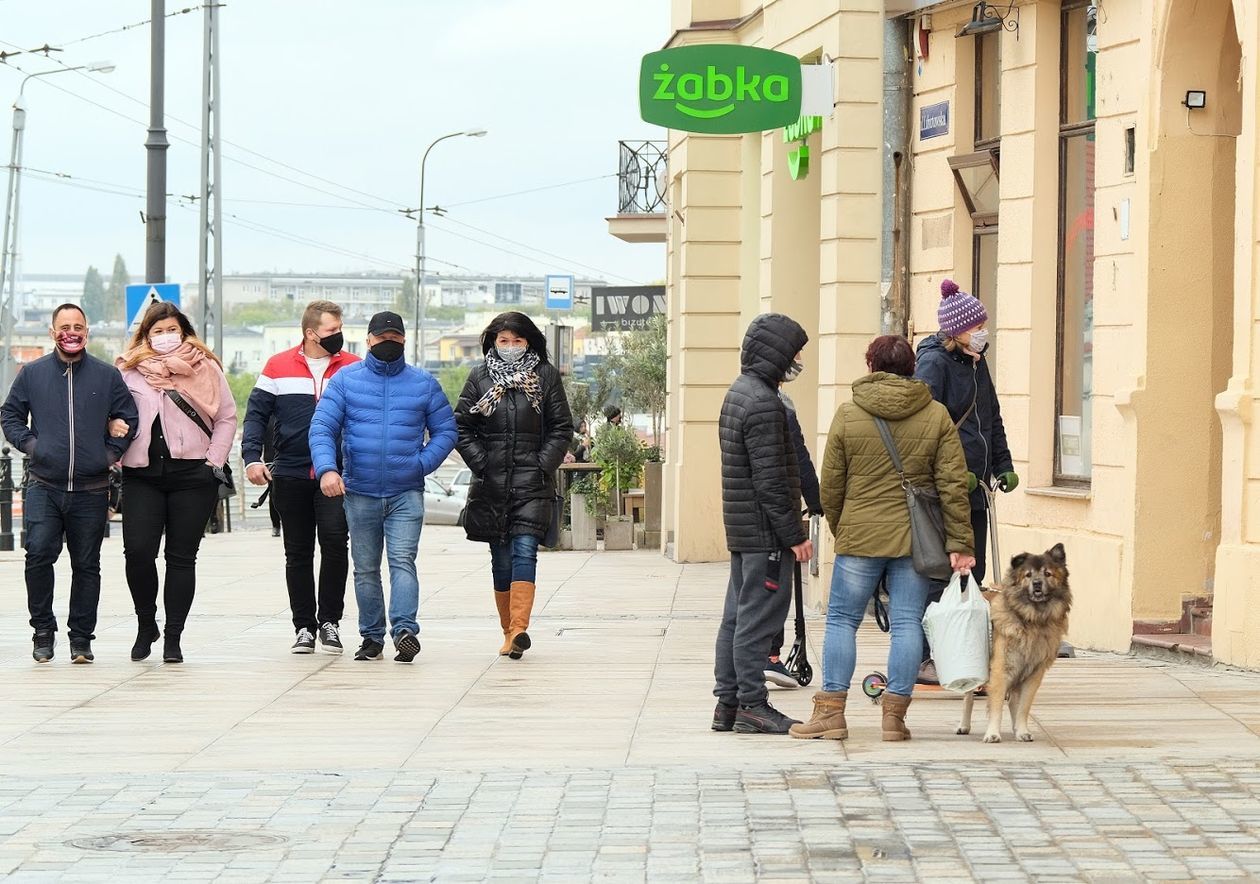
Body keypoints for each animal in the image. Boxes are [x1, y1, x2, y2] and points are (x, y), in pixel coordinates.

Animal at [952, 544, 1073, 745]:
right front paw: (993, 734)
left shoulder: (1032, 675)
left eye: (1047, 574)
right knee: (968, 699)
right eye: (1028, 575)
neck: (1031, 619)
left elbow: (1023, 707)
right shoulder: (1001, 670)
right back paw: (964, 725)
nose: (1037, 584)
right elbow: (996, 705)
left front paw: (1022, 730)